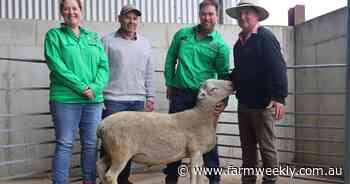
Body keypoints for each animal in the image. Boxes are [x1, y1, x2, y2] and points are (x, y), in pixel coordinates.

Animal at [96, 80, 232, 184]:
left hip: (110, 150)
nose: (231, 84)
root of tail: (101, 125)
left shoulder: (200, 153)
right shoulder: (195, 151)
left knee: (100, 165)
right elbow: (193, 175)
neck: (202, 116)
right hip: (121, 151)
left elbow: (200, 174)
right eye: (213, 89)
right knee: (110, 175)